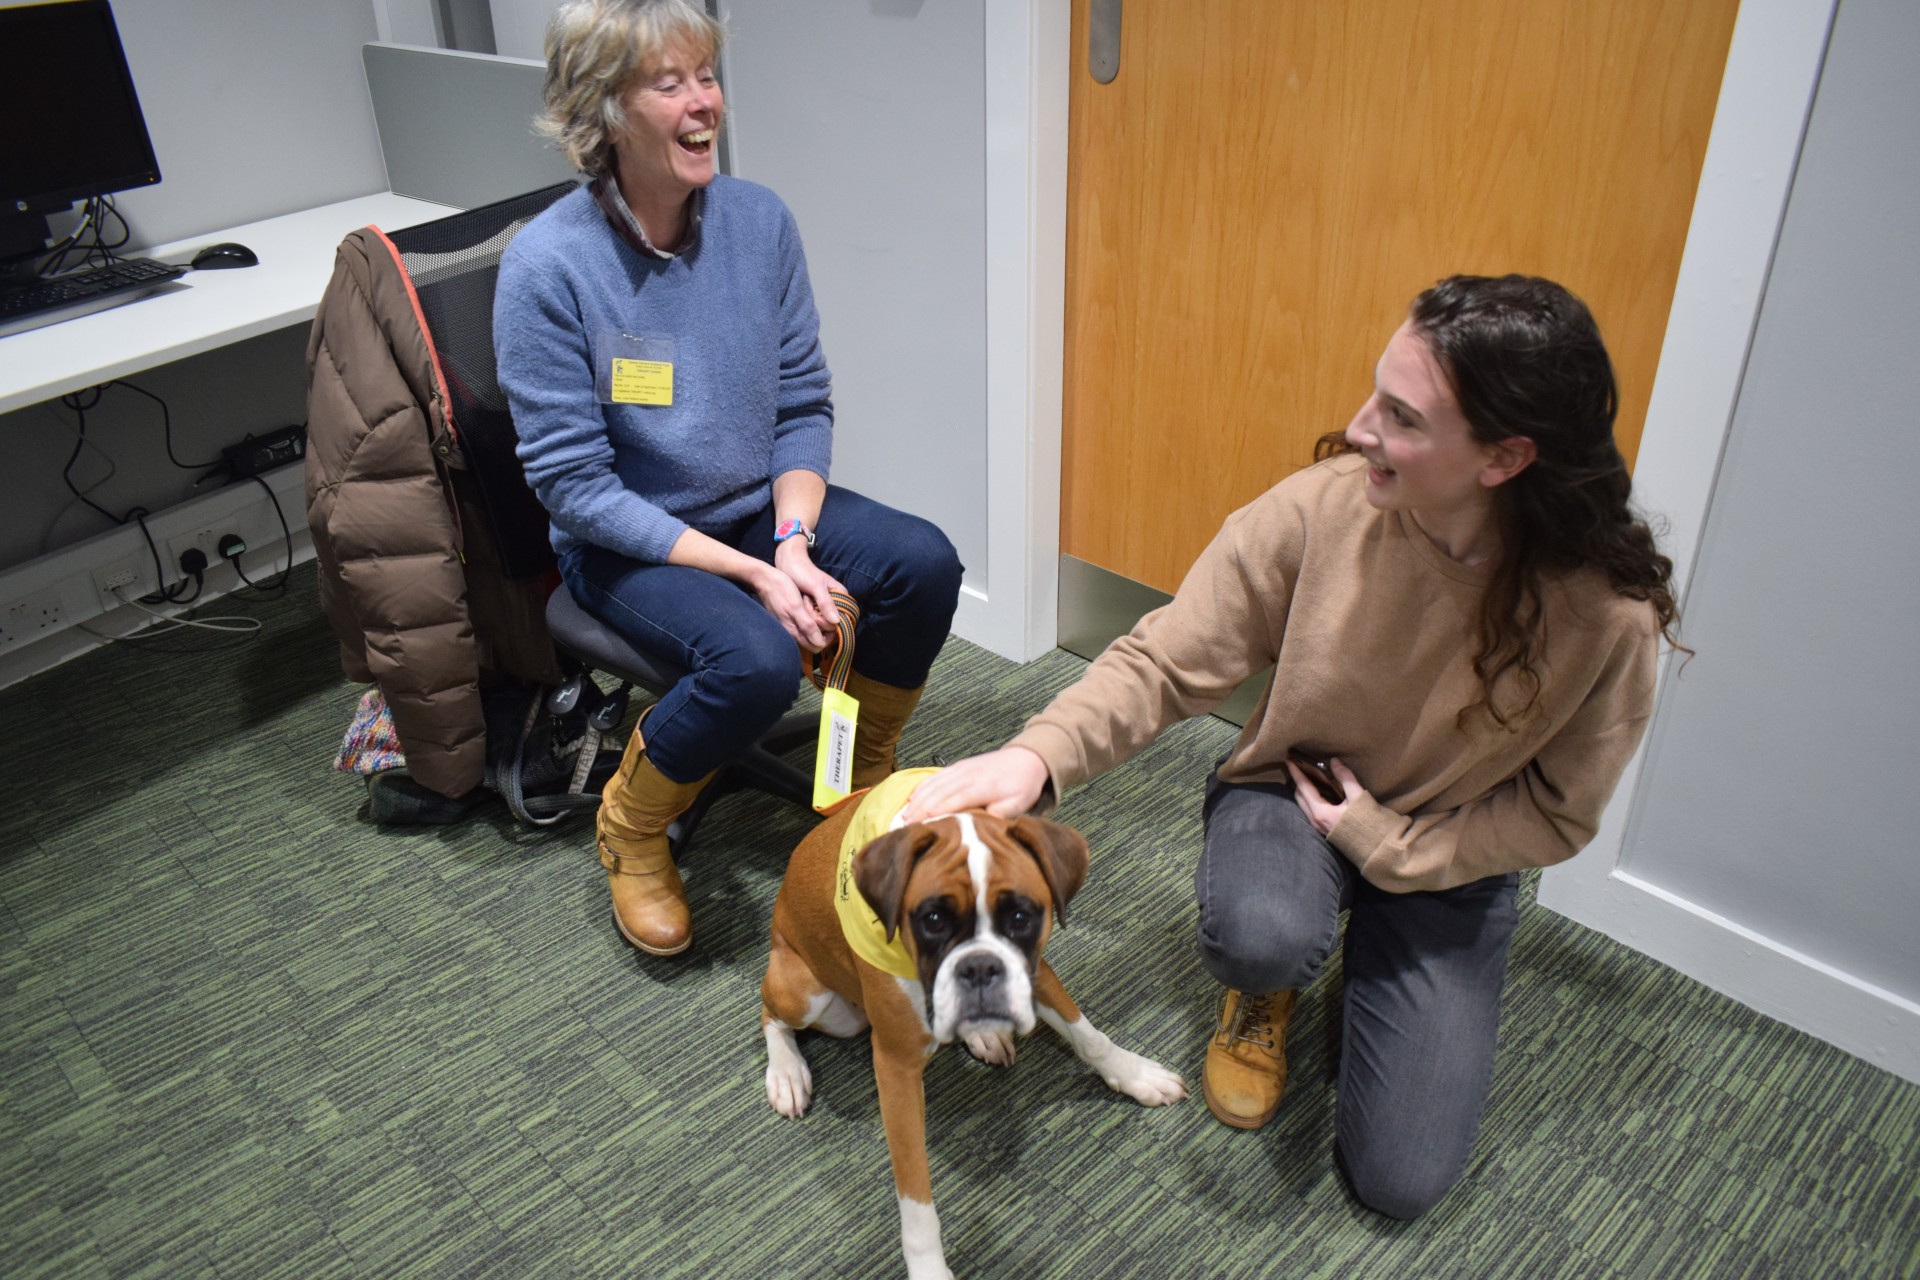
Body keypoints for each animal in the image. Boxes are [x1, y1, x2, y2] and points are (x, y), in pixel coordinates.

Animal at [760, 771, 1182, 1280]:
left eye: (1020, 916)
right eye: (932, 920)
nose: (980, 966)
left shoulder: (1036, 972)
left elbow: (1088, 1035)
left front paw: (1134, 1074)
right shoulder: (896, 1068)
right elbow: (916, 1198)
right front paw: (929, 1268)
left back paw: (984, 1034)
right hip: (808, 993)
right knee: (770, 1014)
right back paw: (786, 1074)